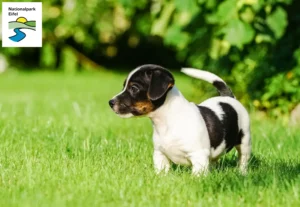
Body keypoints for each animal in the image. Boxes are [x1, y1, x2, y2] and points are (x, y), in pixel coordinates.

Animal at [108, 64, 251, 175]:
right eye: (124, 86)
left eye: (134, 88)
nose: (110, 102)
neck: (166, 121)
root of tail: (228, 97)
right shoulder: (160, 155)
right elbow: (161, 173)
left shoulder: (198, 156)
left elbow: (197, 175)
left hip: (245, 141)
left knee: (243, 159)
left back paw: (242, 173)